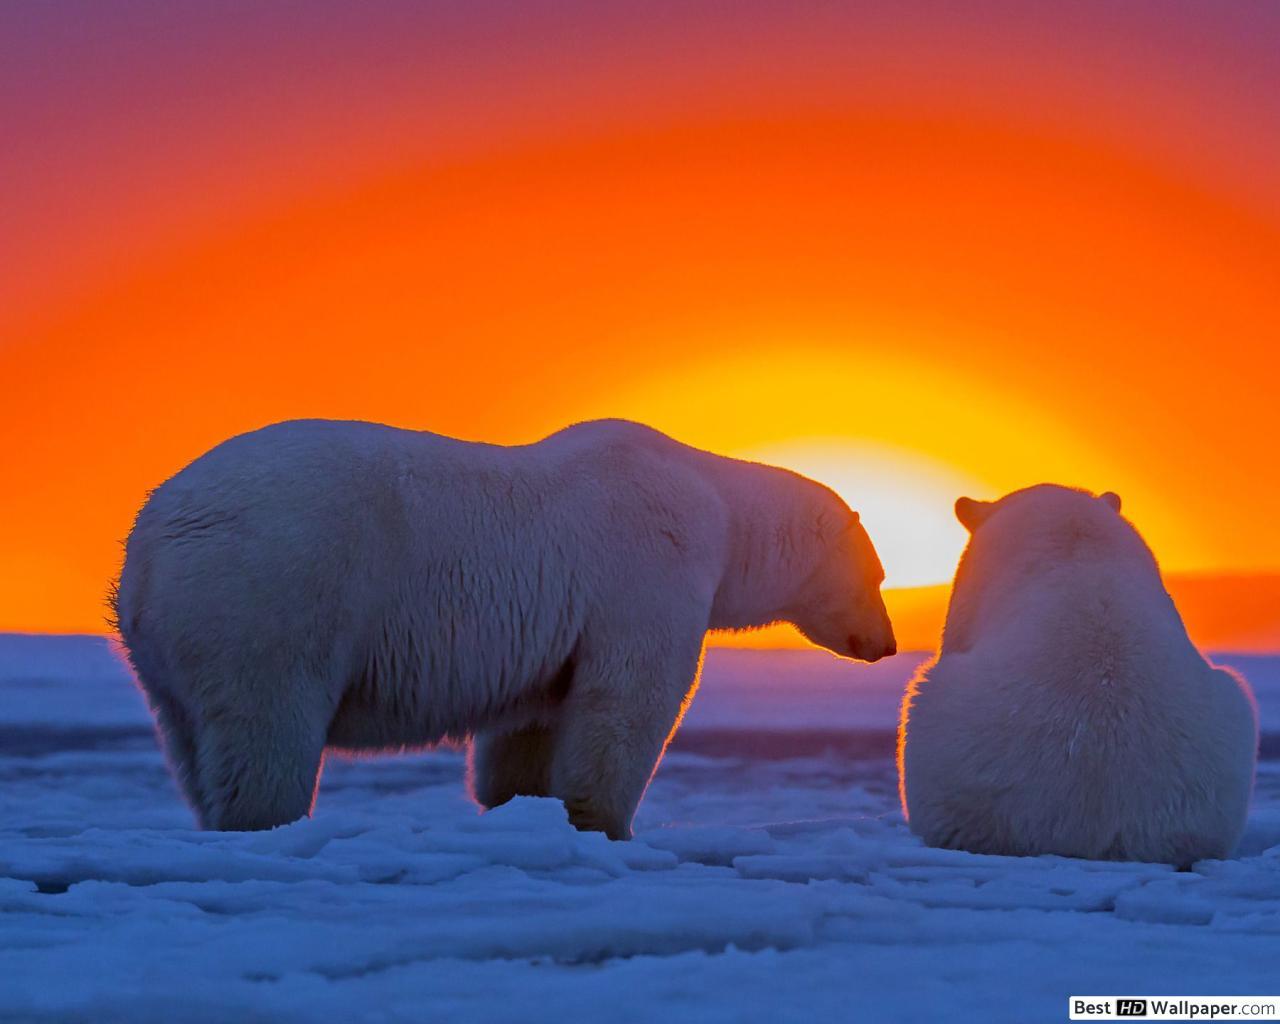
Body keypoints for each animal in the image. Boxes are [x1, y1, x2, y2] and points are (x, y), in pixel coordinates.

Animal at [113, 418, 896, 839]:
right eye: (879, 576)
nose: (886, 644)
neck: (719, 509)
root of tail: (151, 538)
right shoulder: (649, 569)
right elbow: (628, 701)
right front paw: (608, 823)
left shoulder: (559, 633)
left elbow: (532, 725)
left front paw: (522, 804)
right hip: (274, 589)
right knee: (267, 724)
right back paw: (266, 821)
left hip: (169, 650)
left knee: (191, 740)